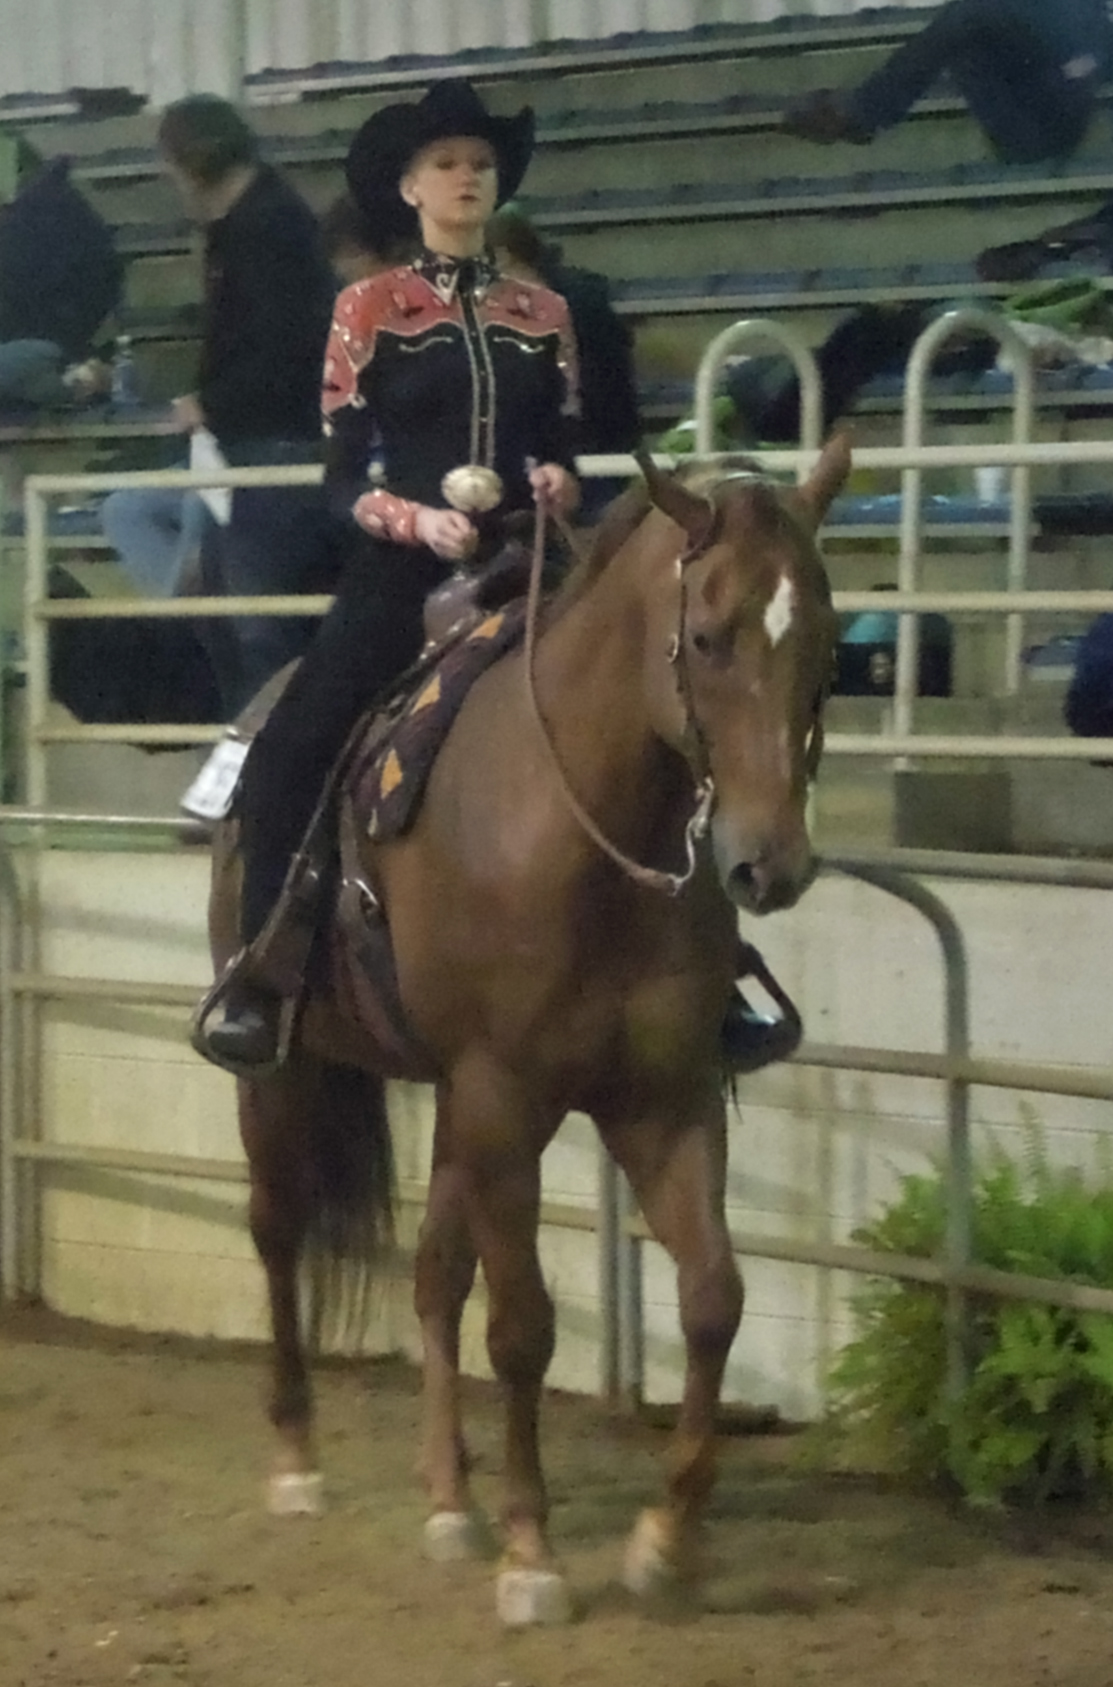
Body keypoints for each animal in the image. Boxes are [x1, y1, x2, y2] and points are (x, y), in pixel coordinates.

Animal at [209, 441, 846, 1626]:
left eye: (825, 639)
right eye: (706, 636)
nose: (769, 865)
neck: (585, 829)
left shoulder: (662, 1098)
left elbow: (713, 1298)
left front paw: (665, 1542)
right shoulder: (505, 1094)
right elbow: (524, 1327)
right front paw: (533, 1553)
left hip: (453, 1103)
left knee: (432, 1271)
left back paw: (447, 1497)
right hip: (282, 1069)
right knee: (277, 1227)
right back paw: (298, 1460)